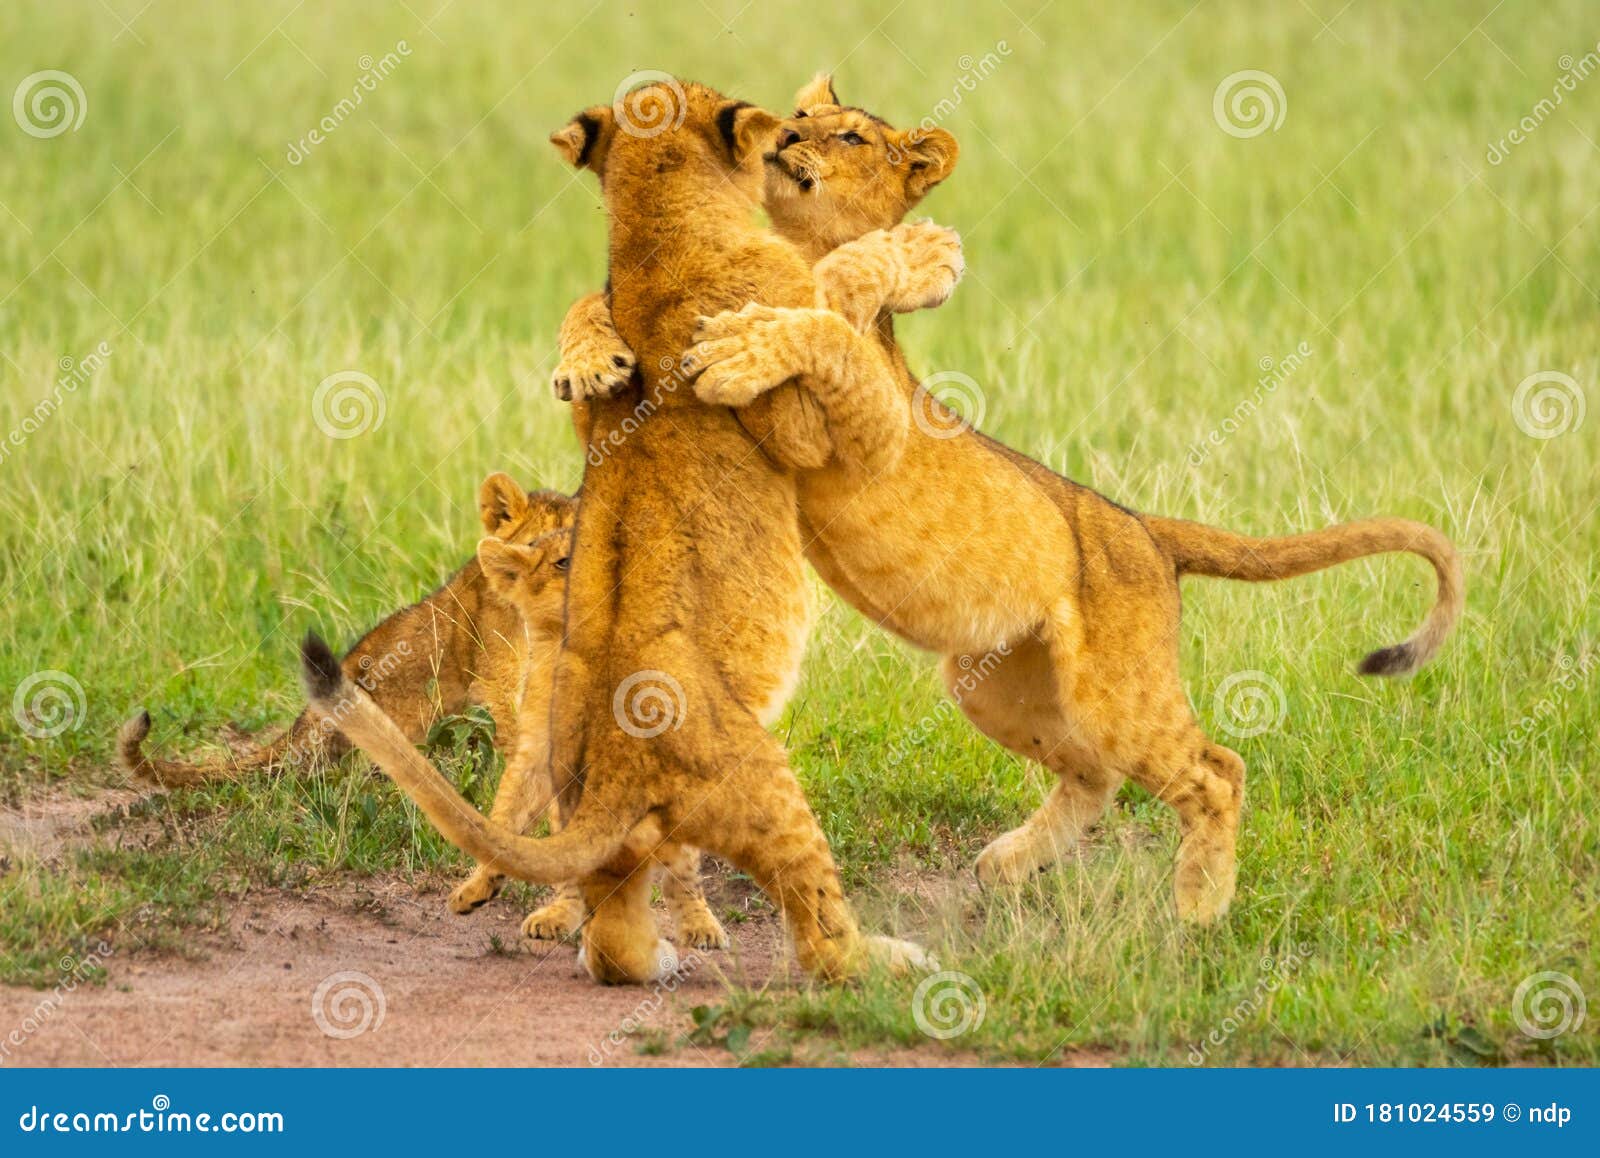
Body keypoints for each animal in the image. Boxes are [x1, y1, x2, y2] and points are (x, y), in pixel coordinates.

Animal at [302, 78, 944, 984]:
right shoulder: (814, 431)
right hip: (769, 785)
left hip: (607, 840)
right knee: (819, 934)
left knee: (612, 943)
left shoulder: (593, 416)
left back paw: (659, 953)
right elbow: (833, 321)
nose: (790, 135)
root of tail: (611, 774)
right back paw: (887, 959)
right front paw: (913, 257)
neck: (654, 240)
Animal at [551, 75, 1465, 925]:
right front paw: (590, 361)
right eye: (801, 117)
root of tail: (1142, 528)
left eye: (848, 136)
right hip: (995, 685)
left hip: (1117, 689)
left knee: (1218, 771)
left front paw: (744, 344)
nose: (788, 138)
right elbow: (602, 308)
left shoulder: (870, 432)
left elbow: (828, 325)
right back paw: (1011, 863)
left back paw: (1198, 908)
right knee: (1095, 772)